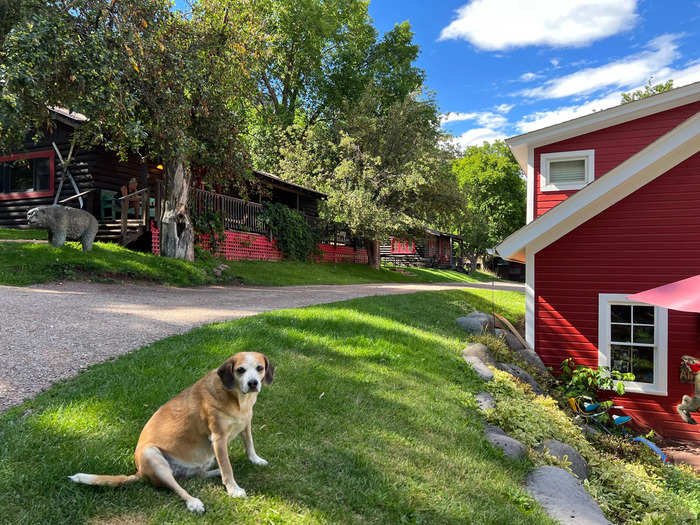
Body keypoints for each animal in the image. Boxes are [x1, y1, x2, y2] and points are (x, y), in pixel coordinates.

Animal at [68, 352, 274, 512]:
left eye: (259, 368)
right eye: (240, 370)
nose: (253, 383)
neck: (237, 399)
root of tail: (140, 472)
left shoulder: (246, 424)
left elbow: (249, 445)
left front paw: (255, 460)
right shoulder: (218, 439)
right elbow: (227, 468)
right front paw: (233, 489)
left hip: (201, 460)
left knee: (199, 475)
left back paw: (214, 473)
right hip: (153, 456)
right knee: (178, 487)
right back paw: (194, 502)